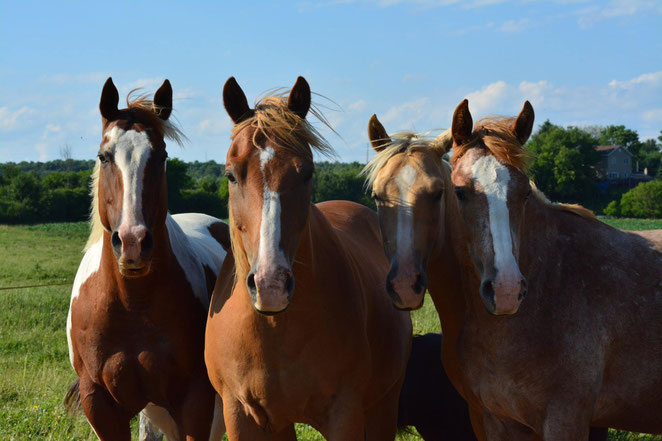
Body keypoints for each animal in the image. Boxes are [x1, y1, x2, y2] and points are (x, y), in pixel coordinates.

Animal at [66, 78, 230, 440]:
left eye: (162, 155)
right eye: (104, 156)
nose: (132, 242)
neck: (131, 302)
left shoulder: (195, 401)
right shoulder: (99, 404)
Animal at [206, 76, 416, 440]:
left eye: (306, 173)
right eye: (231, 175)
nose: (271, 285)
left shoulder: (344, 415)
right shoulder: (241, 415)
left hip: (382, 407)